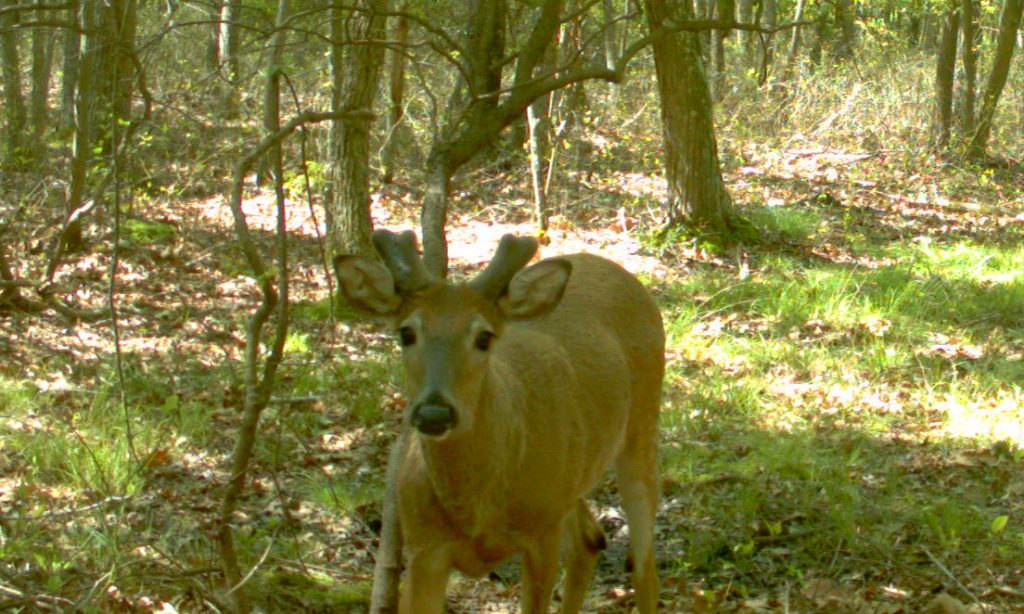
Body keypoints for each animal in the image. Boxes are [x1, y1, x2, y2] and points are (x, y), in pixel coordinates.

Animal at [333, 230, 663, 614]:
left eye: (483, 336)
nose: (434, 412)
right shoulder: (423, 547)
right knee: (591, 539)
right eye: (406, 333)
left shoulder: (541, 538)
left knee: (643, 565)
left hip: (642, 426)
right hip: (571, 481)